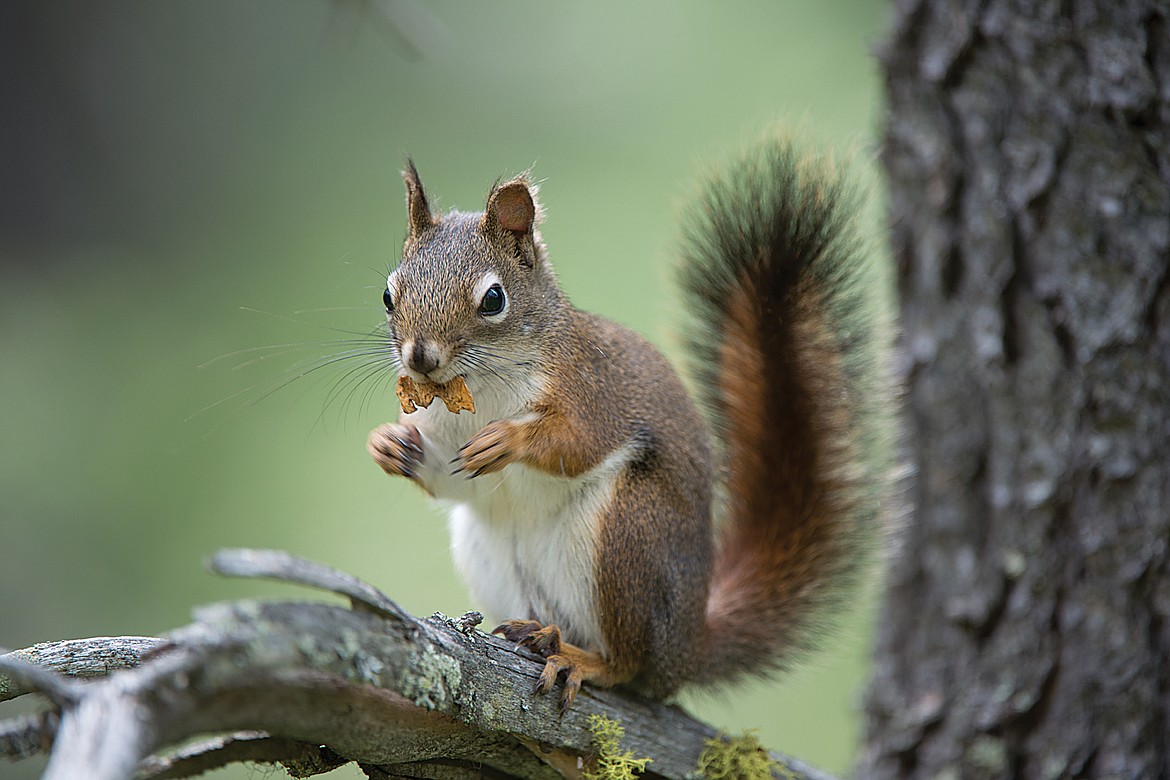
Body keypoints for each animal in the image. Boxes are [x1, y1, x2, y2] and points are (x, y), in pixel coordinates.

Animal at [369, 135, 889, 715]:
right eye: (388, 294)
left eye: (493, 299)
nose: (420, 358)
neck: (477, 391)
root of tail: (688, 649)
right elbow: (448, 480)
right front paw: (389, 445)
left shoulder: (594, 391)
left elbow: (578, 444)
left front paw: (510, 439)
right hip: (493, 557)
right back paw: (540, 632)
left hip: (627, 540)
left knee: (630, 663)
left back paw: (580, 658)